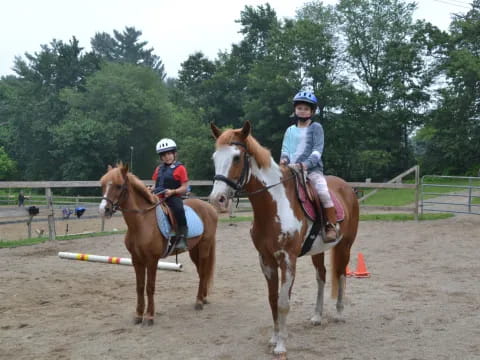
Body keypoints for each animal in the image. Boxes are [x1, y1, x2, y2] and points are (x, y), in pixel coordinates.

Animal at [98, 163, 217, 324]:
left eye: (118, 186)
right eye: (103, 185)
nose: (103, 209)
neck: (142, 221)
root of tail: (210, 208)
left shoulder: (152, 260)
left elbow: (150, 287)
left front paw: (149, 316)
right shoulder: (136, 260)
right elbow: (140, 287)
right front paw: (138, 315)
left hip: (205, 246)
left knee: (204, 271)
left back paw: (199, 301)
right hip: (194, 250)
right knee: (201, 272)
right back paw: (203, 298)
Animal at [208, 122, 358, 356]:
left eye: (236, 157)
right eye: (215, 157)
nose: (218, 200)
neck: (274, 205)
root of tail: (348, 188)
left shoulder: (287, 260)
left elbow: (284, 302)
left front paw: (281, 346)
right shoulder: (266, 260)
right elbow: (273, 300)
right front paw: (274, 338)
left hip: (345, 246)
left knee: (341, 274)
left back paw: (339, 314)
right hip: (318, 251)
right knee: (322, 276)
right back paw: (317, 316)